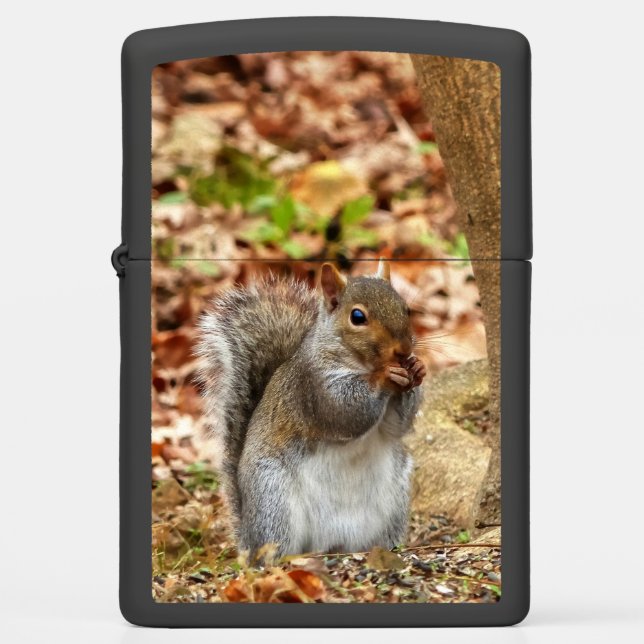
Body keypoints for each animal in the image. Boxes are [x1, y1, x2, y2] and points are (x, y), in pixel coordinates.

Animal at [196, 260, 426, 556]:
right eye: (357, 317)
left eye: (405, 308)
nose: (403, 350)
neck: (359, 363)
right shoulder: (313, 386)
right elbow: (345, 411)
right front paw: (385, 376)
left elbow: (396, 425)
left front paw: (417, 369)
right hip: (273, 500)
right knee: (272, 547)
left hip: (395, 499)